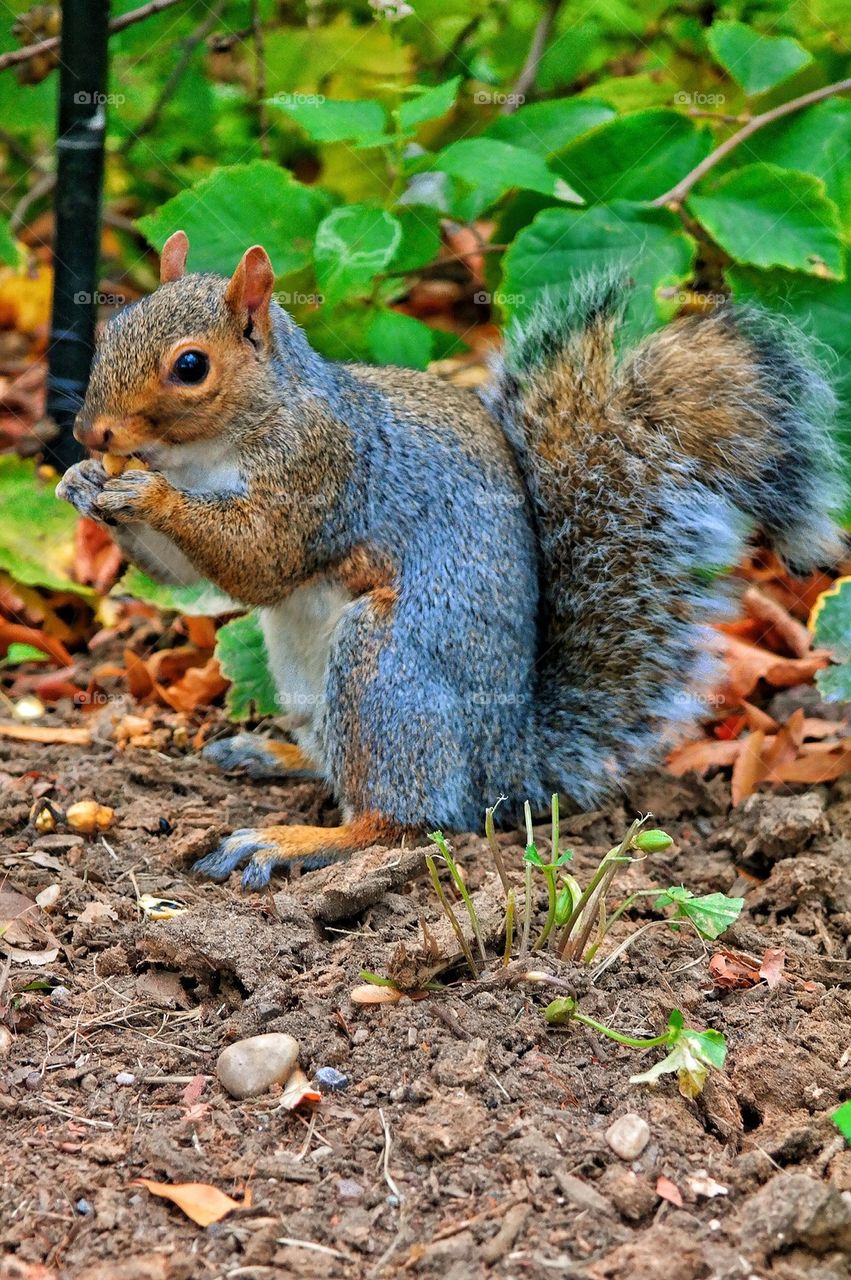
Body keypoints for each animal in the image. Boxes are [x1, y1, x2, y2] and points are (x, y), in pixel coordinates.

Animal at [57, 230, 846, 889]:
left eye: (191, 366)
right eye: (112, 328)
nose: (90, 431)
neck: (216, 446)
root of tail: (503, 760)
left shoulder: (322, 472)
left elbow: (262, 559)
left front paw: (146, 493)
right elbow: (182, 575)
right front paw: (83, 482)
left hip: (384, 669)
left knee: (402, 819)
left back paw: (294, 841)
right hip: (306, 673)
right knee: (340, 763)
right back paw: (275, 758)